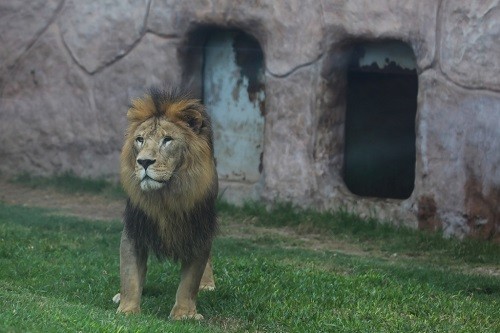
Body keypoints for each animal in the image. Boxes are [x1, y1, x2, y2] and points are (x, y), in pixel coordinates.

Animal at [117, 87, 219, 320]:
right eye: (139, 139)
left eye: (167, 140)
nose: (144, 162)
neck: (165, 197)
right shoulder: (135, 227)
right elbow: (130, 274)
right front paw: (128, 310)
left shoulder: (199, 230)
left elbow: (190, 282)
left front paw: (184, 314)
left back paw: (207, 285)